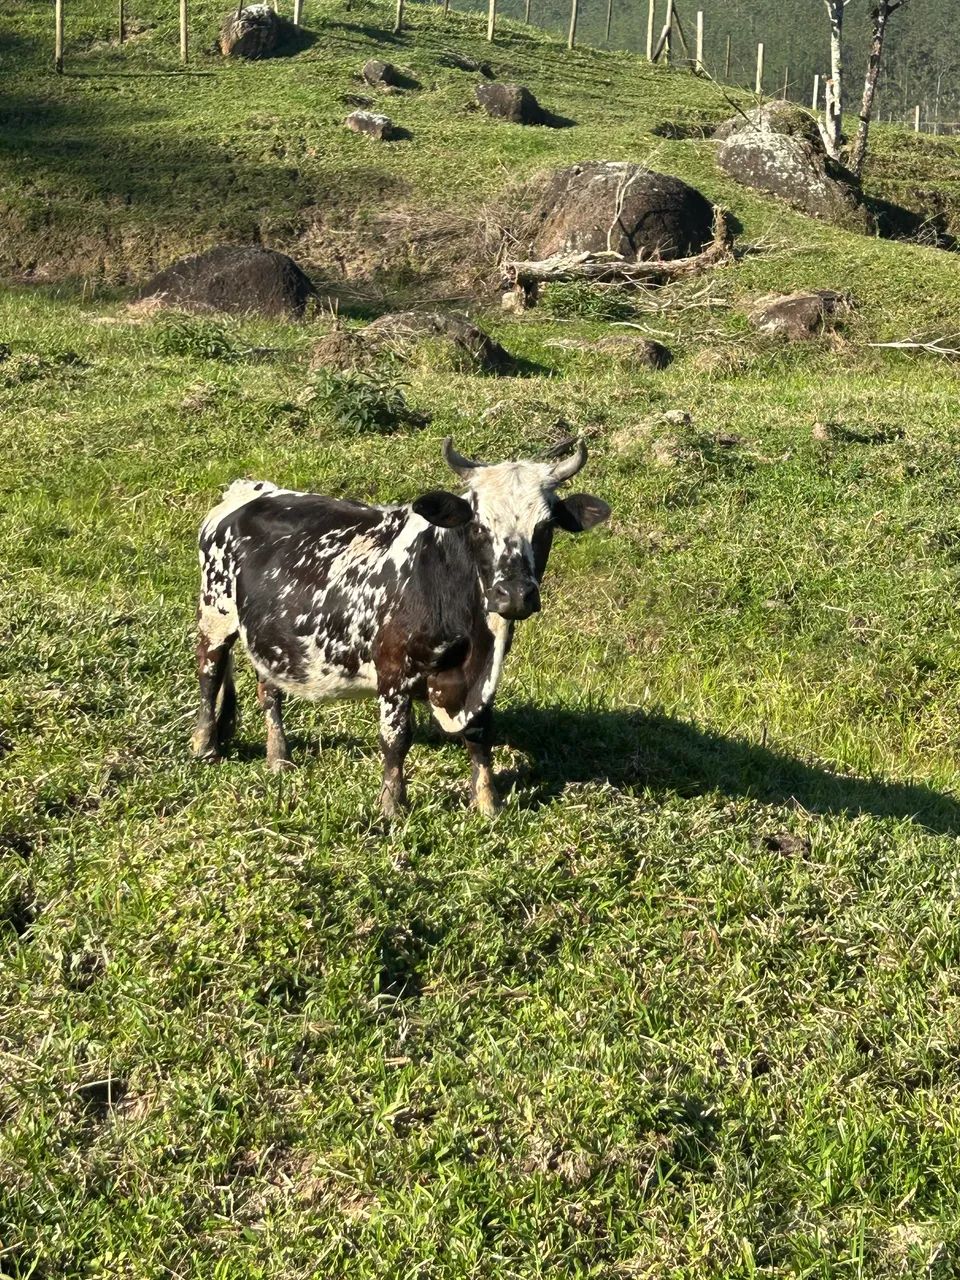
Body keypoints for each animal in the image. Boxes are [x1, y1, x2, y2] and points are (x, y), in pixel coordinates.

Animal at [190, 436, 610, 818]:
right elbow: (396, 738)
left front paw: (488, 804)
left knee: (269, 692)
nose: (514, 595)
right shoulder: (393, 669)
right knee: (209, 673)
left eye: (546, 526)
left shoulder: (483, 677)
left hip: (270, 637)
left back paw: (279, 757)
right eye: (478, 526)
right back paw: (205, 746)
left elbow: (480, 735)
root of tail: (249, 489)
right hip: (216, 613)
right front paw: (392, 806)